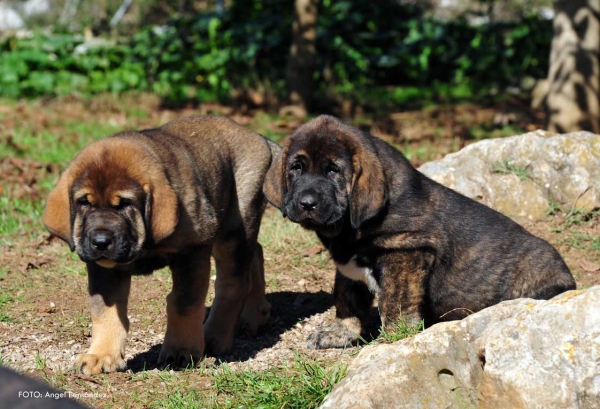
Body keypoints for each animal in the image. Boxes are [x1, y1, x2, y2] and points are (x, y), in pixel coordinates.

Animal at [43, 115, 278, 372]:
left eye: (125, 204)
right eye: (84, 203)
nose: (100, 242)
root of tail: (257, 136)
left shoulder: (191, 252)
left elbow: (184, 303)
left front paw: (181, 350)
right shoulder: (103, 269)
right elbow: (105, 311)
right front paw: (101, 355)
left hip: (235, 226)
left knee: (233, 282)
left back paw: (215, 336)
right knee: (256, 252)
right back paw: (255, 313)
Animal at [264, 115, 576, 348]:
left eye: (333, 171)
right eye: (296, 168)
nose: (307, 203)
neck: (348, 230)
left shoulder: (407, 250)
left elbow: (395, 304)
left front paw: (392, 340)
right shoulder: (349, 268)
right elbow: (346, 300)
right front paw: (339, 333)